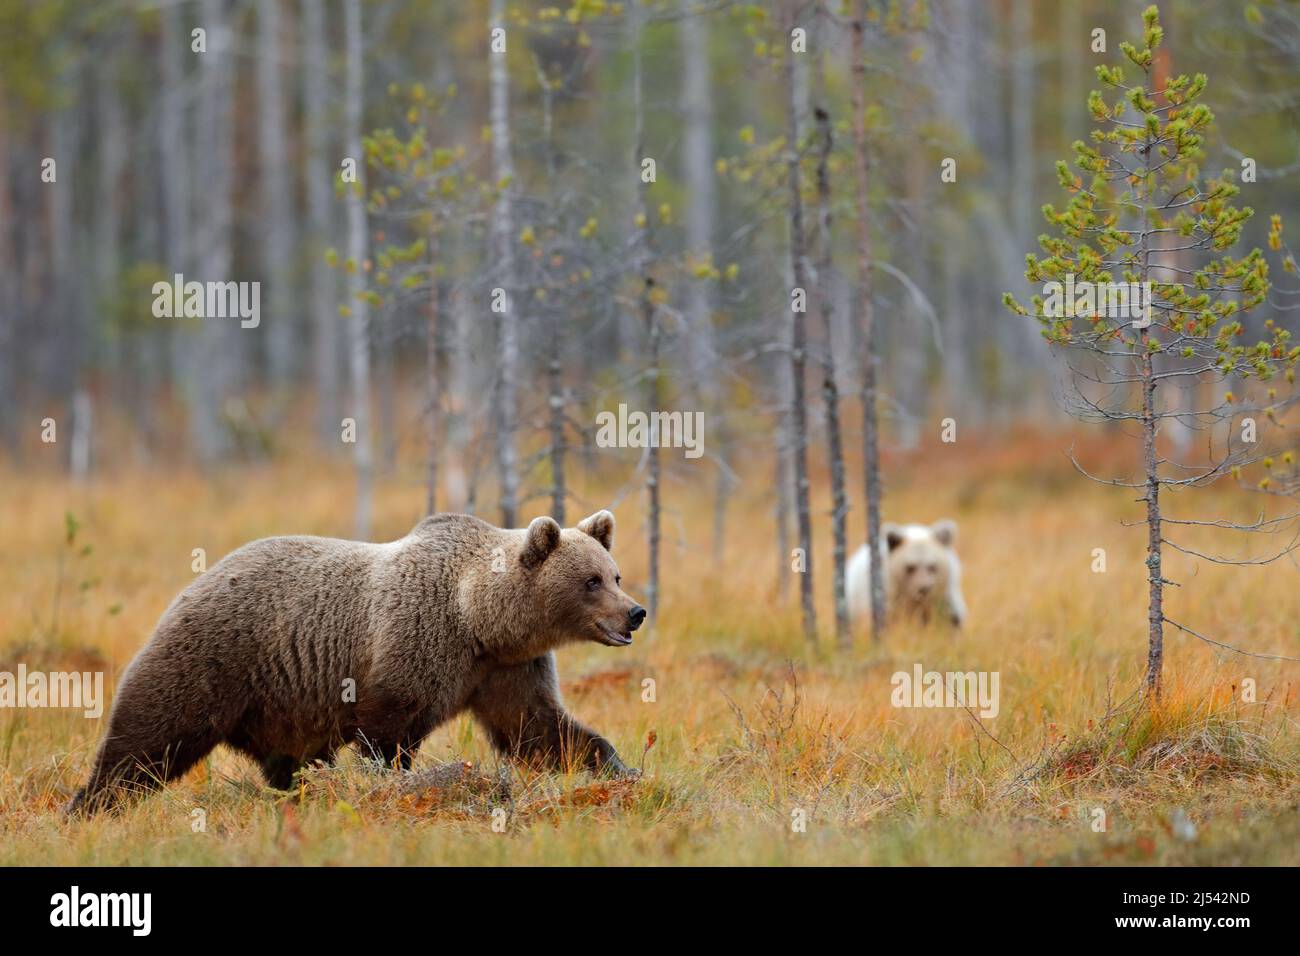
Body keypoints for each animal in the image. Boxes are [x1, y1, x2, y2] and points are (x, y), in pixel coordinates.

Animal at [68, 509, 642, 816]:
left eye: (614, 573)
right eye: (591, 580)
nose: (634, 612)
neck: (479, 621)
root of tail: (196, 582)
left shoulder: (504, 671)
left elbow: (538, 729)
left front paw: (619, 766)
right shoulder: (412, 646)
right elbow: (386, 736)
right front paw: (397, 786)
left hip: (279, 706)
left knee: (286, 760)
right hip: (214, 657)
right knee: (148, 737)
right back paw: (90, 804)